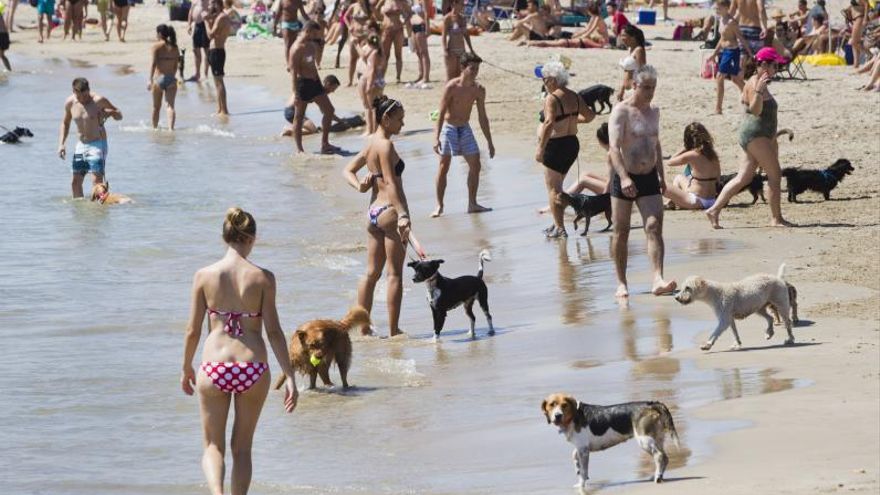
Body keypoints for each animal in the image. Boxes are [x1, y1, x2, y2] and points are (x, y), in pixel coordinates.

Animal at [544, 396, 680, 488]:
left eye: (564, 405)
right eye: (551, 405)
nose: (557, 416)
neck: (574, 415)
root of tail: (651, 404)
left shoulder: (583, 449)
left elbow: (583, 470)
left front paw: (581, 485)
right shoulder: (582, 448)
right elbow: (574, 455)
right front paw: (577, 468)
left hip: (644, 440)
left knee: (659, 456)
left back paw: (657, 477)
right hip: (657, 438)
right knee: (665, 457)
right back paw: (659, 476)